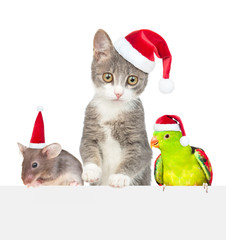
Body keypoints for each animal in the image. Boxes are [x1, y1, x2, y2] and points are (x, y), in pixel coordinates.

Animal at [79, 29, 152, 188]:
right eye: (108, 77)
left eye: (132, 79)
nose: (118, 93)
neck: (112, 110)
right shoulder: (90, 128)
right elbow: (87, 148)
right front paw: (91, 171)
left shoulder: (140, 139)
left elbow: (136, 156)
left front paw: (119, 177)